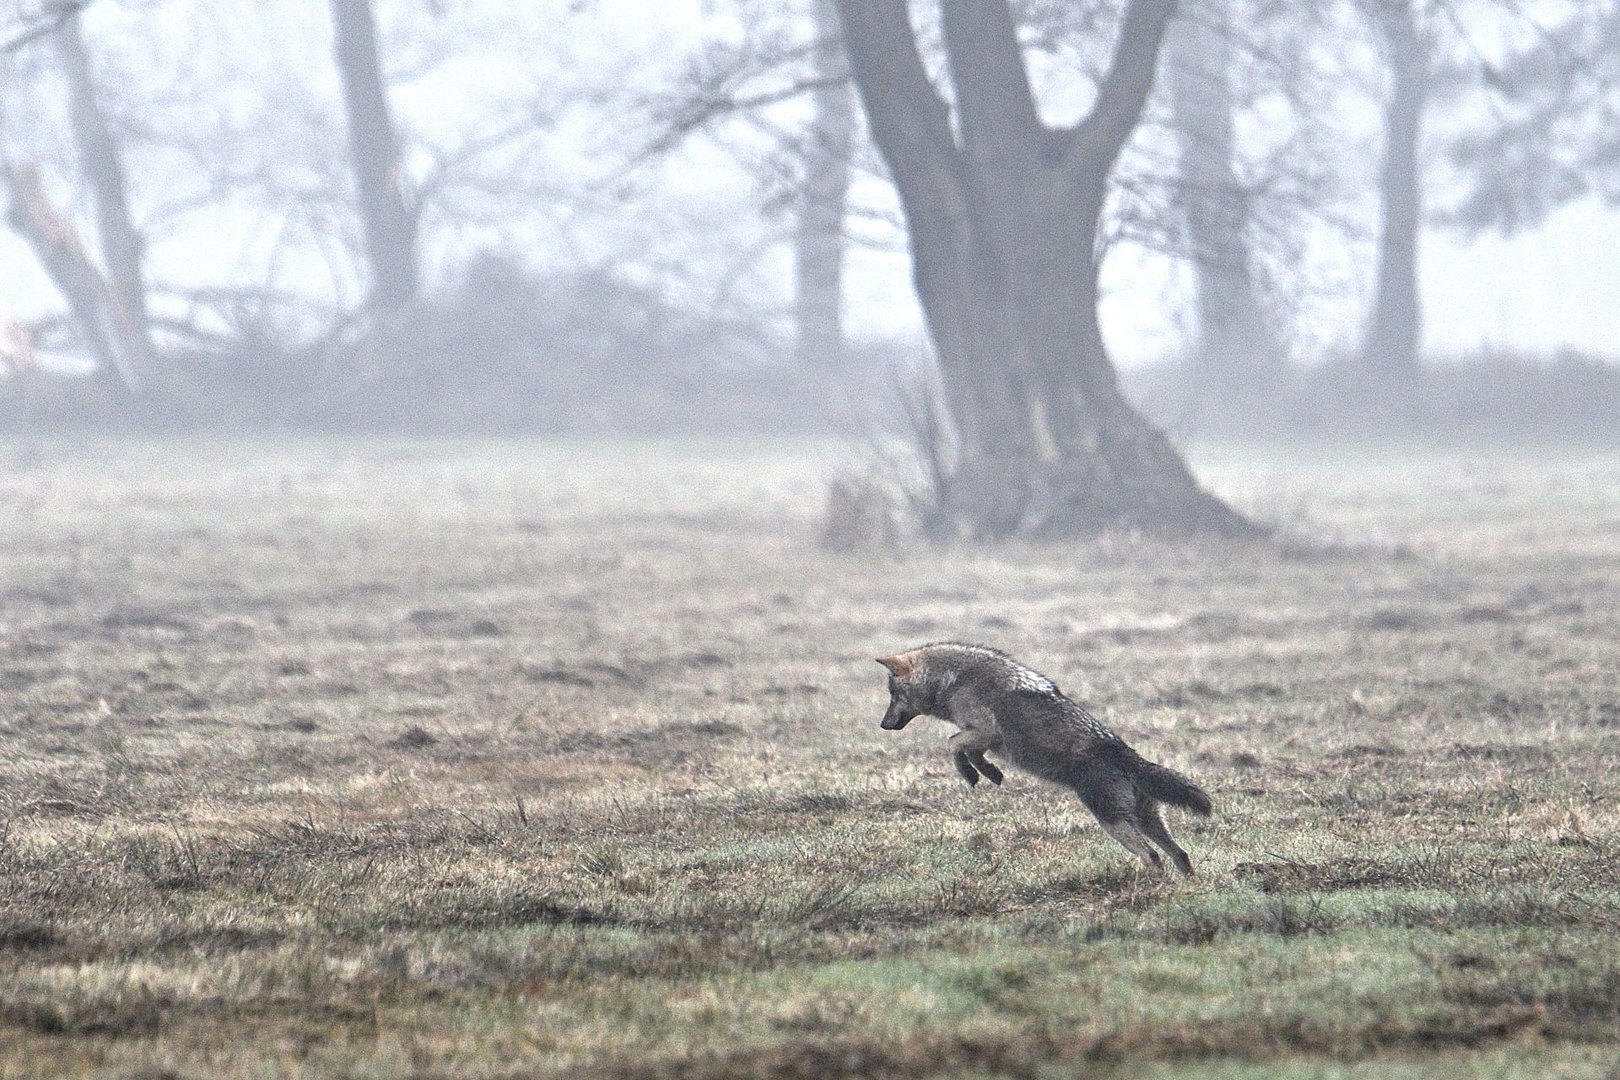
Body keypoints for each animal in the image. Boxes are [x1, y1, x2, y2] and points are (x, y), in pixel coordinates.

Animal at [881, 647, 1211, 874]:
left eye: (893, 695)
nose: (883, 725)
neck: (953, 679)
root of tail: (1127, 756)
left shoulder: (986, 732)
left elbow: (952, 744)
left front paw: (973, 774)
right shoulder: (984, 738)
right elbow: (968, 751)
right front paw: (990, 773)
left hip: (1112, 821)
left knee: (1153, 857)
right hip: (1144, 820)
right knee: (1179, 855)